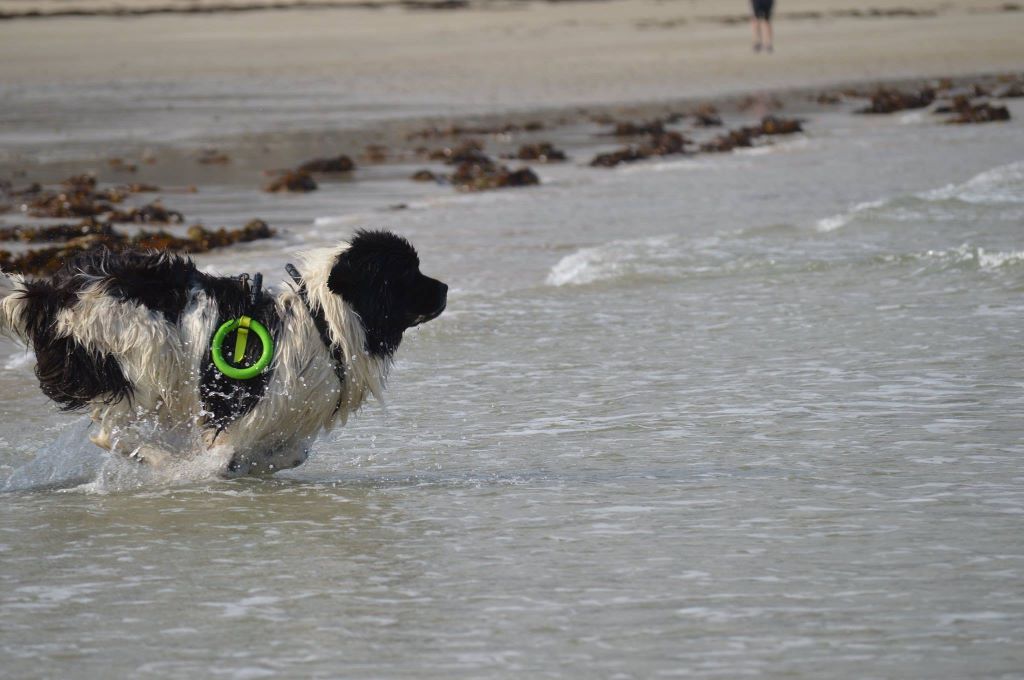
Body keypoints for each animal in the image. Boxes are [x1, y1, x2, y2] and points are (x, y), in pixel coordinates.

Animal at [1, 231, 448, 475]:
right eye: (408, 273)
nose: (445, 287)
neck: (324, 323)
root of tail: (48, 295)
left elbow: (293, 453)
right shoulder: (239, 408)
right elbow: (228, 454)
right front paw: (209, 470)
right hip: (145, 353)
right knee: (110, 432)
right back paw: (165, 464)